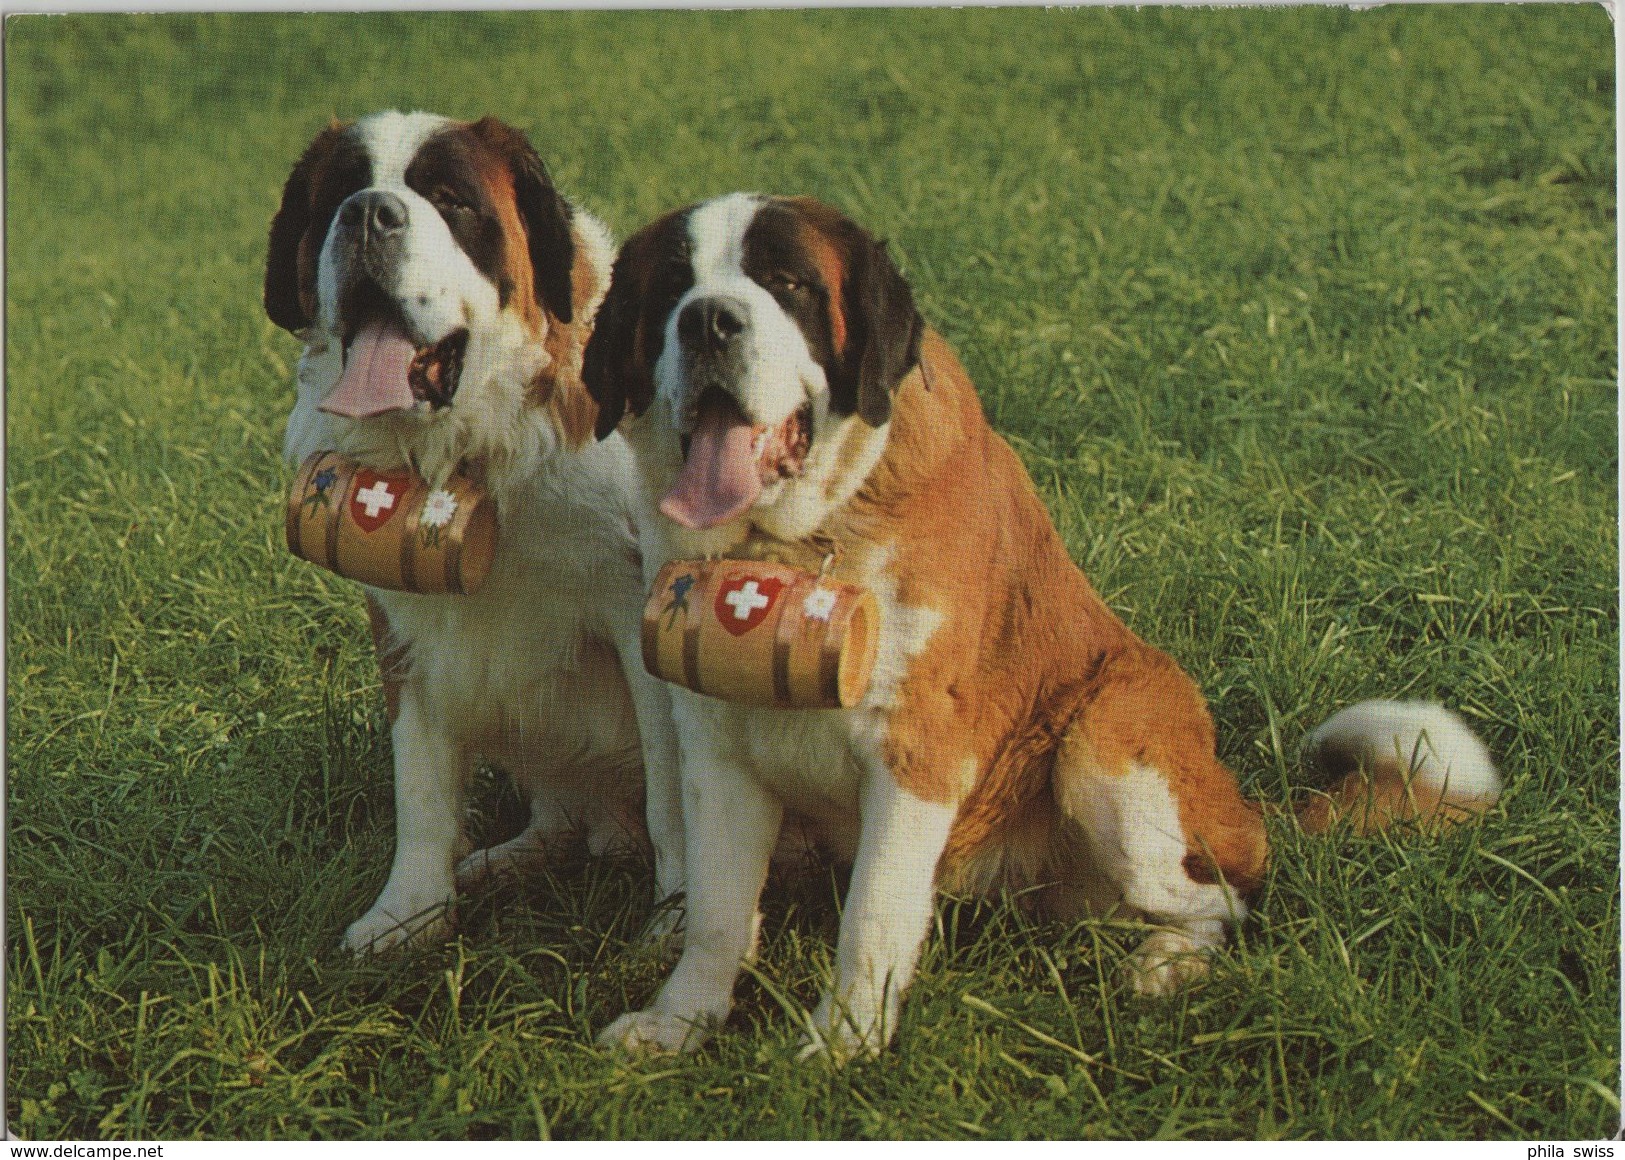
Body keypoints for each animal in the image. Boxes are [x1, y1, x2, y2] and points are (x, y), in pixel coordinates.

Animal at [263, 112, 682, 955]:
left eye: (451, 200)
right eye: (338, 194)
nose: (368, 214)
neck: (471, 444)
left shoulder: (639, 616)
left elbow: (674, 798)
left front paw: (674, 926)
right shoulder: (404, 627)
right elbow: (421, 784)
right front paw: (410, 912)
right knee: (564, 819)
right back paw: (504, 861)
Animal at [581, 191, 1495, 1059]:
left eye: (787, 284)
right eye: (670, 286)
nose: (708, 319)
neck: (799, 538)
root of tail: (1239, 801)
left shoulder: (919, 750)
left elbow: (871, 915)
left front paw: (843, 1043)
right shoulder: (714, 748)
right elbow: (715, 912)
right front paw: (678, 1023)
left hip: (1106, 744)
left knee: (1224, 898)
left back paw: (1166, 962)